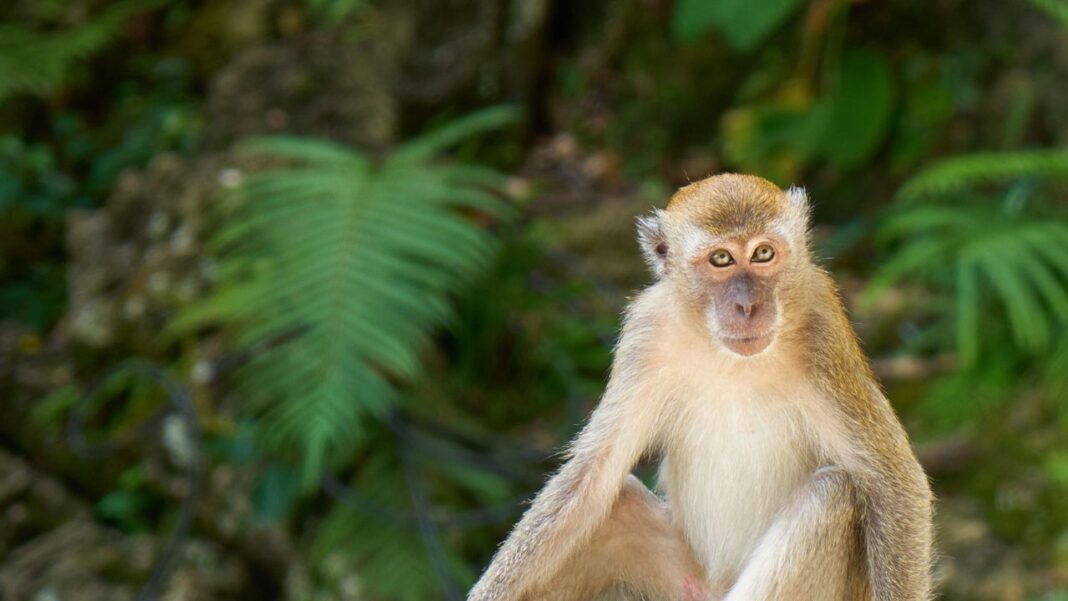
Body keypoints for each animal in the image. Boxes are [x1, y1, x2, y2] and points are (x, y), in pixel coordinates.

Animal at [467, 174, 934, 601]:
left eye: (763, 253)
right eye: (721, 259)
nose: (747, 305)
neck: (726, 357)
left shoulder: (824, 333)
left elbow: (893, 485)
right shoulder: (646, 333)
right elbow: (592, 475)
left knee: (833, 493)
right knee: (616, 506)